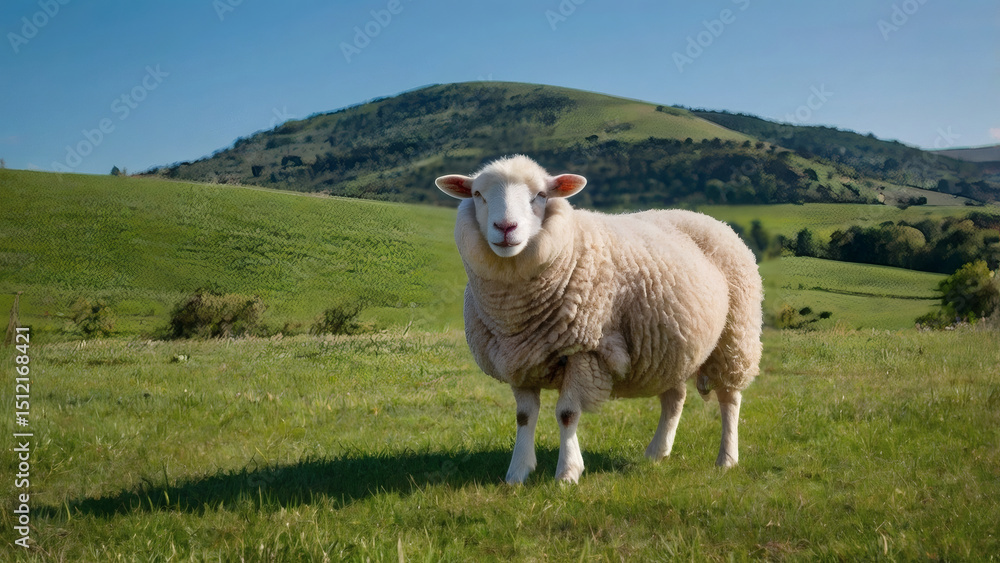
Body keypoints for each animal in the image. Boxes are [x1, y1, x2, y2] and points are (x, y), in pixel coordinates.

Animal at [435, 155, 762, 484]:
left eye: (540, 195)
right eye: (478, 194)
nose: (505, 227)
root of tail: (706, 217)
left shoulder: (585, 350)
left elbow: (567, 414)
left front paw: (567, 473)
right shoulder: (520, 358)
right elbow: (524, 417)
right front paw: (518, 473)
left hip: (735, 337)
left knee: (730, 398)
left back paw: (727, 459)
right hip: (670, 347)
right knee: (675, 397)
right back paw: (657, 452)